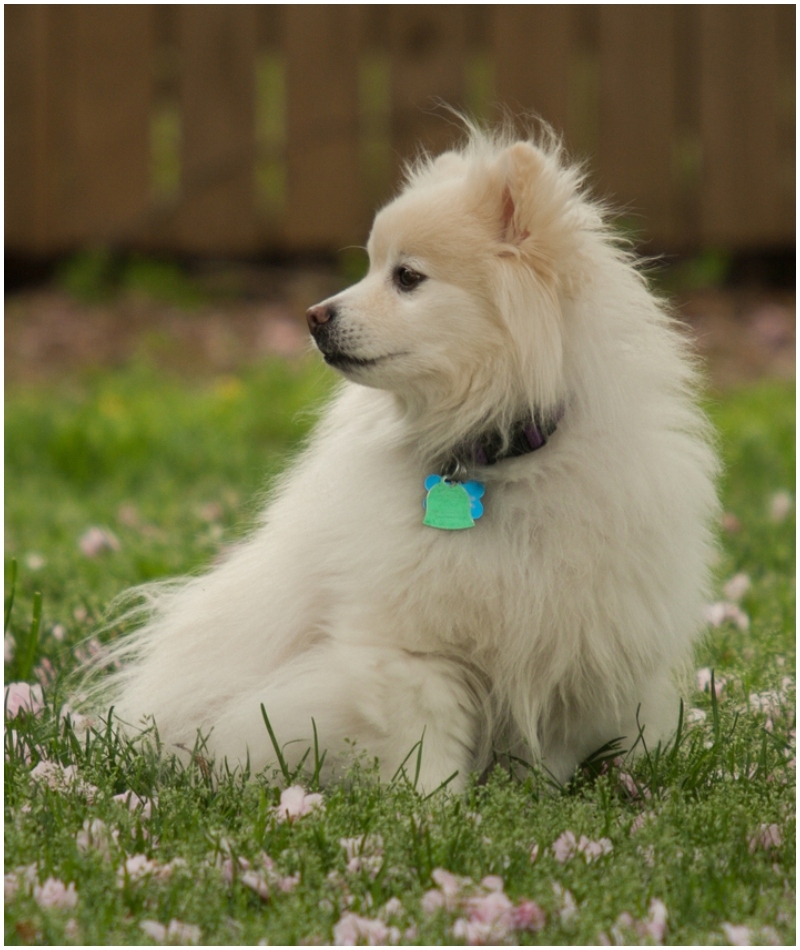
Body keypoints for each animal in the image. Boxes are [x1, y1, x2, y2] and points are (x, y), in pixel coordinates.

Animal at [98, 128, 720, 796]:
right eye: (372, 268)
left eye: (407, 277)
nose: (314, 316)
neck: (490, 459)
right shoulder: (409, 648)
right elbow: (427, 742)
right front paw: (434, 805)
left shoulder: (569, 640)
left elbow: (545, 748)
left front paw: (532, 800)